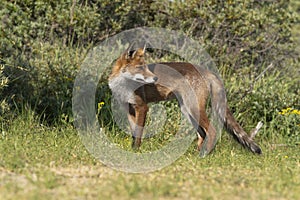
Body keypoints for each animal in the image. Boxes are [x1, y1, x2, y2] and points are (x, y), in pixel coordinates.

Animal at [108, 47, 262, 156]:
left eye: (146, 67)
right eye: (140, 68)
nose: (156, 78)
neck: (123, 86)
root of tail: (206, 71)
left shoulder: (142, 107)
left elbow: (138, 133)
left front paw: (136, 151)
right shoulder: (129, 108)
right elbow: (134, 131)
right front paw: (133, 150)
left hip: (193, 108)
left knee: (211, 131)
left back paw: (204, 156)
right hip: (187, 110)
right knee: (202, 134)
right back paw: (196, 155)